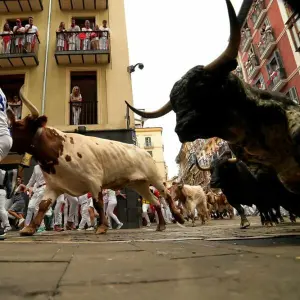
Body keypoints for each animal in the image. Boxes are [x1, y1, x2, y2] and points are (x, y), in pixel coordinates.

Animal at [7, 85, 185, 236]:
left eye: (19, 126)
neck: (59, 150)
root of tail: (143, 152)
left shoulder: (93, 179)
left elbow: (98, 203)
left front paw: (102, 227)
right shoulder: (54, 185)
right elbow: (43, 205)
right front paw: (30, 228)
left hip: (155, 178)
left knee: (166, 195)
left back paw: (179, 218)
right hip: (139, 184)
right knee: (155, 201)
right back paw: (161, 225)